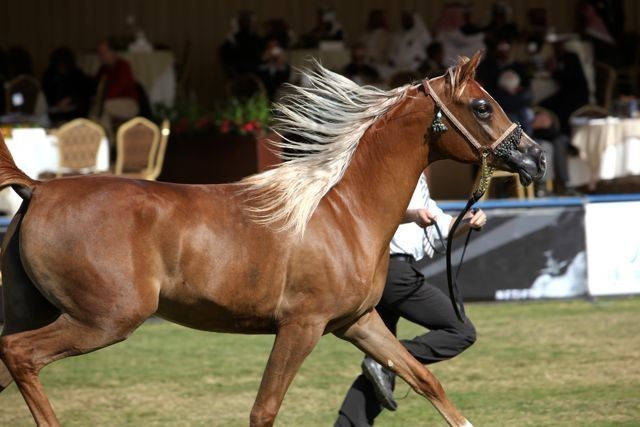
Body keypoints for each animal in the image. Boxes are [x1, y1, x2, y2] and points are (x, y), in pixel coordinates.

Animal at [0, 52, 545, 427]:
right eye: (482, 106)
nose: (536, 159)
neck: (343, 211)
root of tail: (40, 187)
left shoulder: (357, 322)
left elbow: (425, 378)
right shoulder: (301, 326)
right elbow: (264, 410)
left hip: (45, 313)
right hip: (105, 319)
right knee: (22, 355)